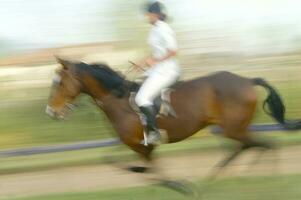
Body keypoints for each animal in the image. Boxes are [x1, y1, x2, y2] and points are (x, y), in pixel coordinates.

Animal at [45, 57, 300, 195]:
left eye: (60, 83)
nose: (51, 111)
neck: (117, 99)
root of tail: (246, 80)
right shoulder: (134, 143)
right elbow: (112, 159)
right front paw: (144, 173)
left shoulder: (142, 146)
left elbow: (155, 173)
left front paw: (181, 186)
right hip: (235, 128)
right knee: (250, 146)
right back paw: (220, 177)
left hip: (233, 128)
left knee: (264, 144)